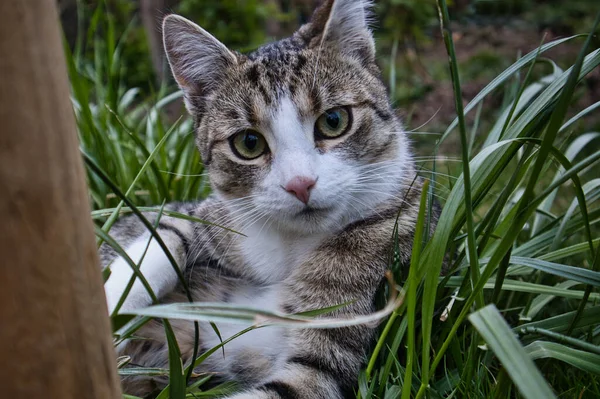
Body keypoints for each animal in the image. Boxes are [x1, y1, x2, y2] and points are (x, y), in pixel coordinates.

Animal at [101, 0, 428, 398]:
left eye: (334, 120)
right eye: (249, 143)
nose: (300, 184)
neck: (291, 247)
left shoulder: (345, 337)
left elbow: (305, 378)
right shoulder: (209, 215)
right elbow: (166, 235)